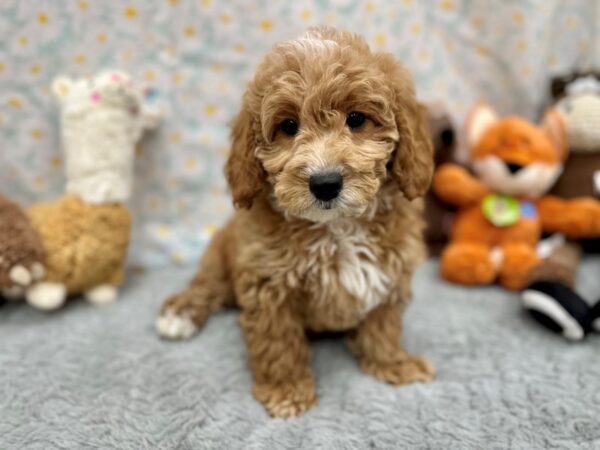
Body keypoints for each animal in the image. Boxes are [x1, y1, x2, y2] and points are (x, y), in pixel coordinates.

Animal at [157, 27, 434, 418]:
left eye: (356, 119)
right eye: (288, 126)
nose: (325, 182)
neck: (337, 227)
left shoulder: (390, 273)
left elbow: (383, 325)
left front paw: (392, 363)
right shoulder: (268, 284)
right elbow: (279, 342)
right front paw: (287, 390)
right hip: (218, 259)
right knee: (206, 286)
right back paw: (179, 314)